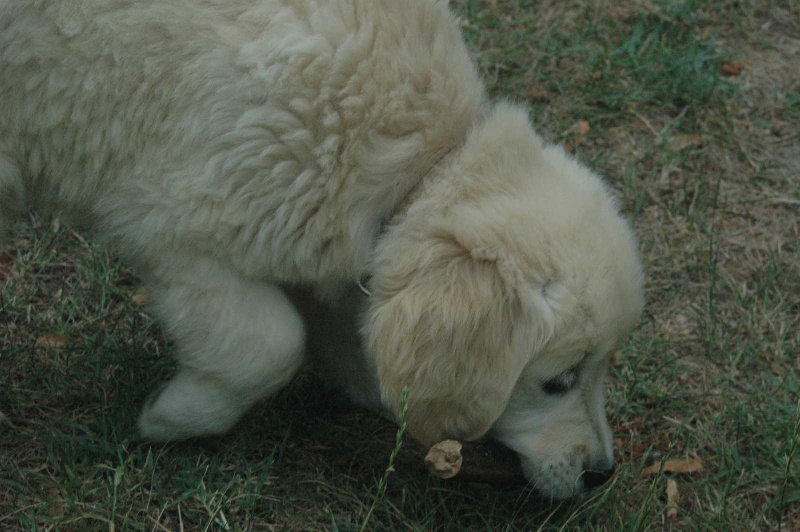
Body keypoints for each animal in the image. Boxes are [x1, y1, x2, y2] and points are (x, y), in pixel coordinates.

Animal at [0, 0, 640, 500]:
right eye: (557, 381)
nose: (601, 475)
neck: (417, 167)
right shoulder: (175, 224)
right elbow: (267, 346)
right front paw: (170, 416)